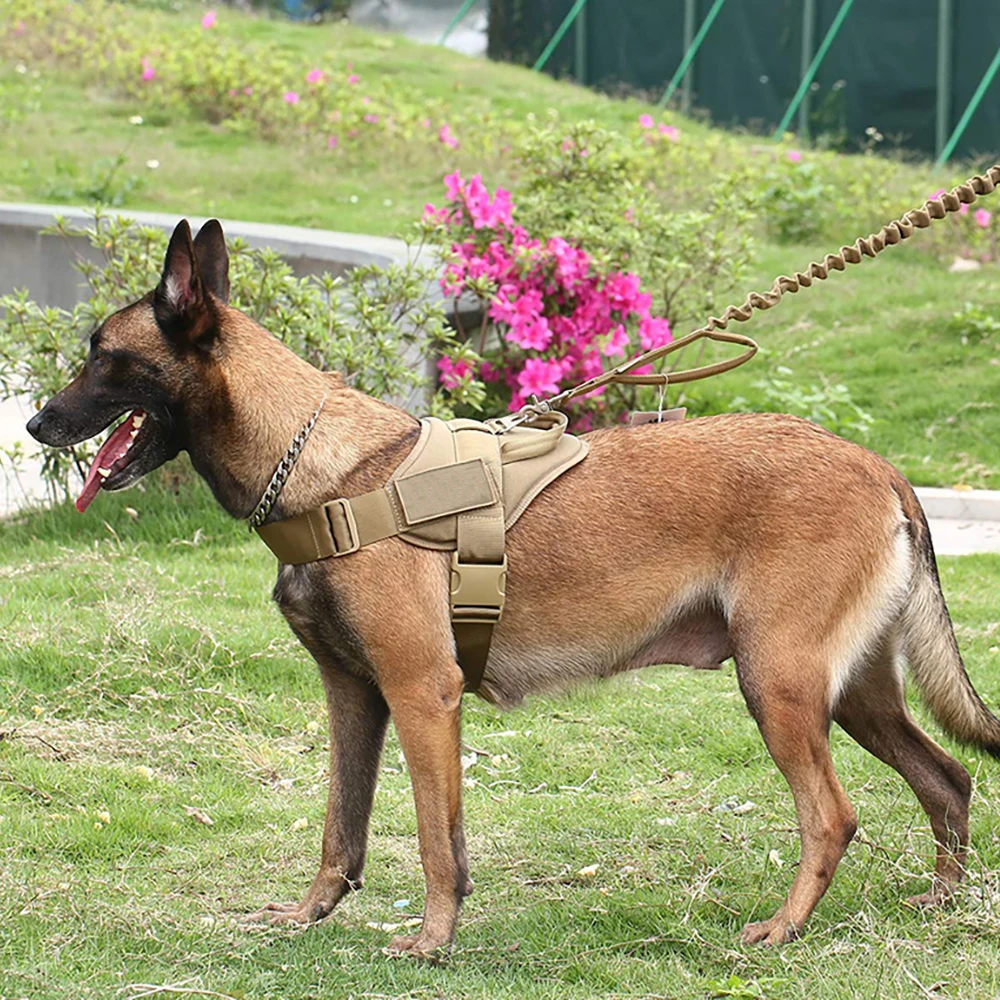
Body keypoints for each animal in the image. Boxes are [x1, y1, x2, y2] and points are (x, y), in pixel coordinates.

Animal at [25, 217, 1000, 952]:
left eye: (102, 356)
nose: (35, 423)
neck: (321, 467)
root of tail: (880, 467)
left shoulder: (422, 692)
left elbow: (429, 836)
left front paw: (431, 941)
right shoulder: (356, 698)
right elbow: (345, 826)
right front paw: (310, 917)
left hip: (782, 686)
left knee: (833, 816)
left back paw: (783, 929)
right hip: (853, 695)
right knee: (949, 779)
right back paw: (942, 905)